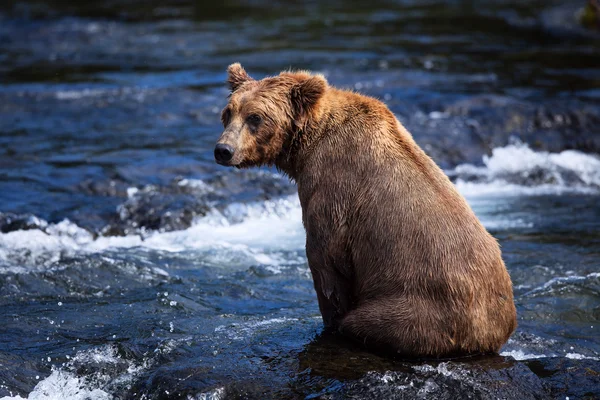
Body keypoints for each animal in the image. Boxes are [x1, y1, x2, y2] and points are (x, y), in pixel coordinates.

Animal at [214, 64, 516, 358]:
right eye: (228, 113)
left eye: (255, 117)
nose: (223, 150)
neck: (306, 146)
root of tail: (489, 333)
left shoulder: (332, 188)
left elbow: (326, 260)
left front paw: (329, 322)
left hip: (416, 310)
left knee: (366, 322)